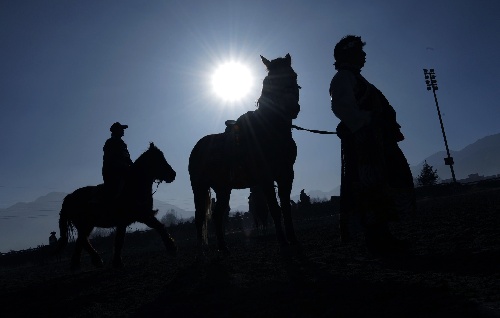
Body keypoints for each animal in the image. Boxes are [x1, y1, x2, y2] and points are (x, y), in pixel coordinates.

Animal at [188, 54, 298, 253]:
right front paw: (283, 241)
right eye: (270, 81)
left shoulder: (286, 174)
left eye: (293, 76)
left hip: (223, 188)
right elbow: (274, 208)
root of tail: (197, 148)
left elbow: (286, 207)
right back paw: (202, 250)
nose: (292, 107)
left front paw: (293, 239)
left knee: (216, 215)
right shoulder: (266, 178)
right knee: (199, 218)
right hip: (199, 188)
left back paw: (223, 248)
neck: (270, 130)